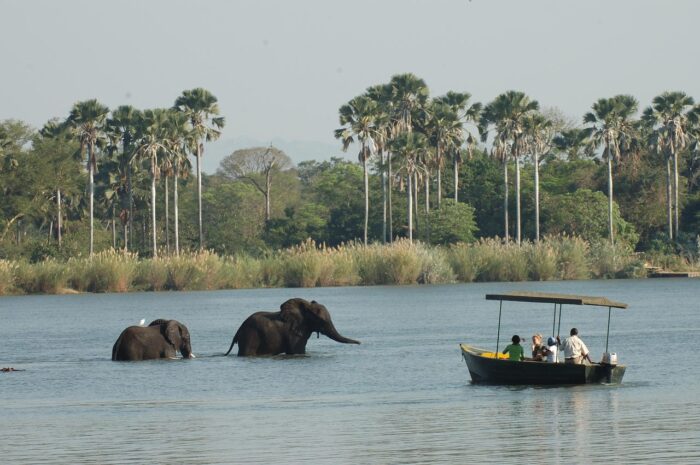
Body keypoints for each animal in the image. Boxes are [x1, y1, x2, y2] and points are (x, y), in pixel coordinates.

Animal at [226, 298, 360, 356]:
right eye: (321, 320)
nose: (359, 343)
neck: (306, 307)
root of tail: (238, 330)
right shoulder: (295, 331)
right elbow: (297, 350)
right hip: (250, 335)